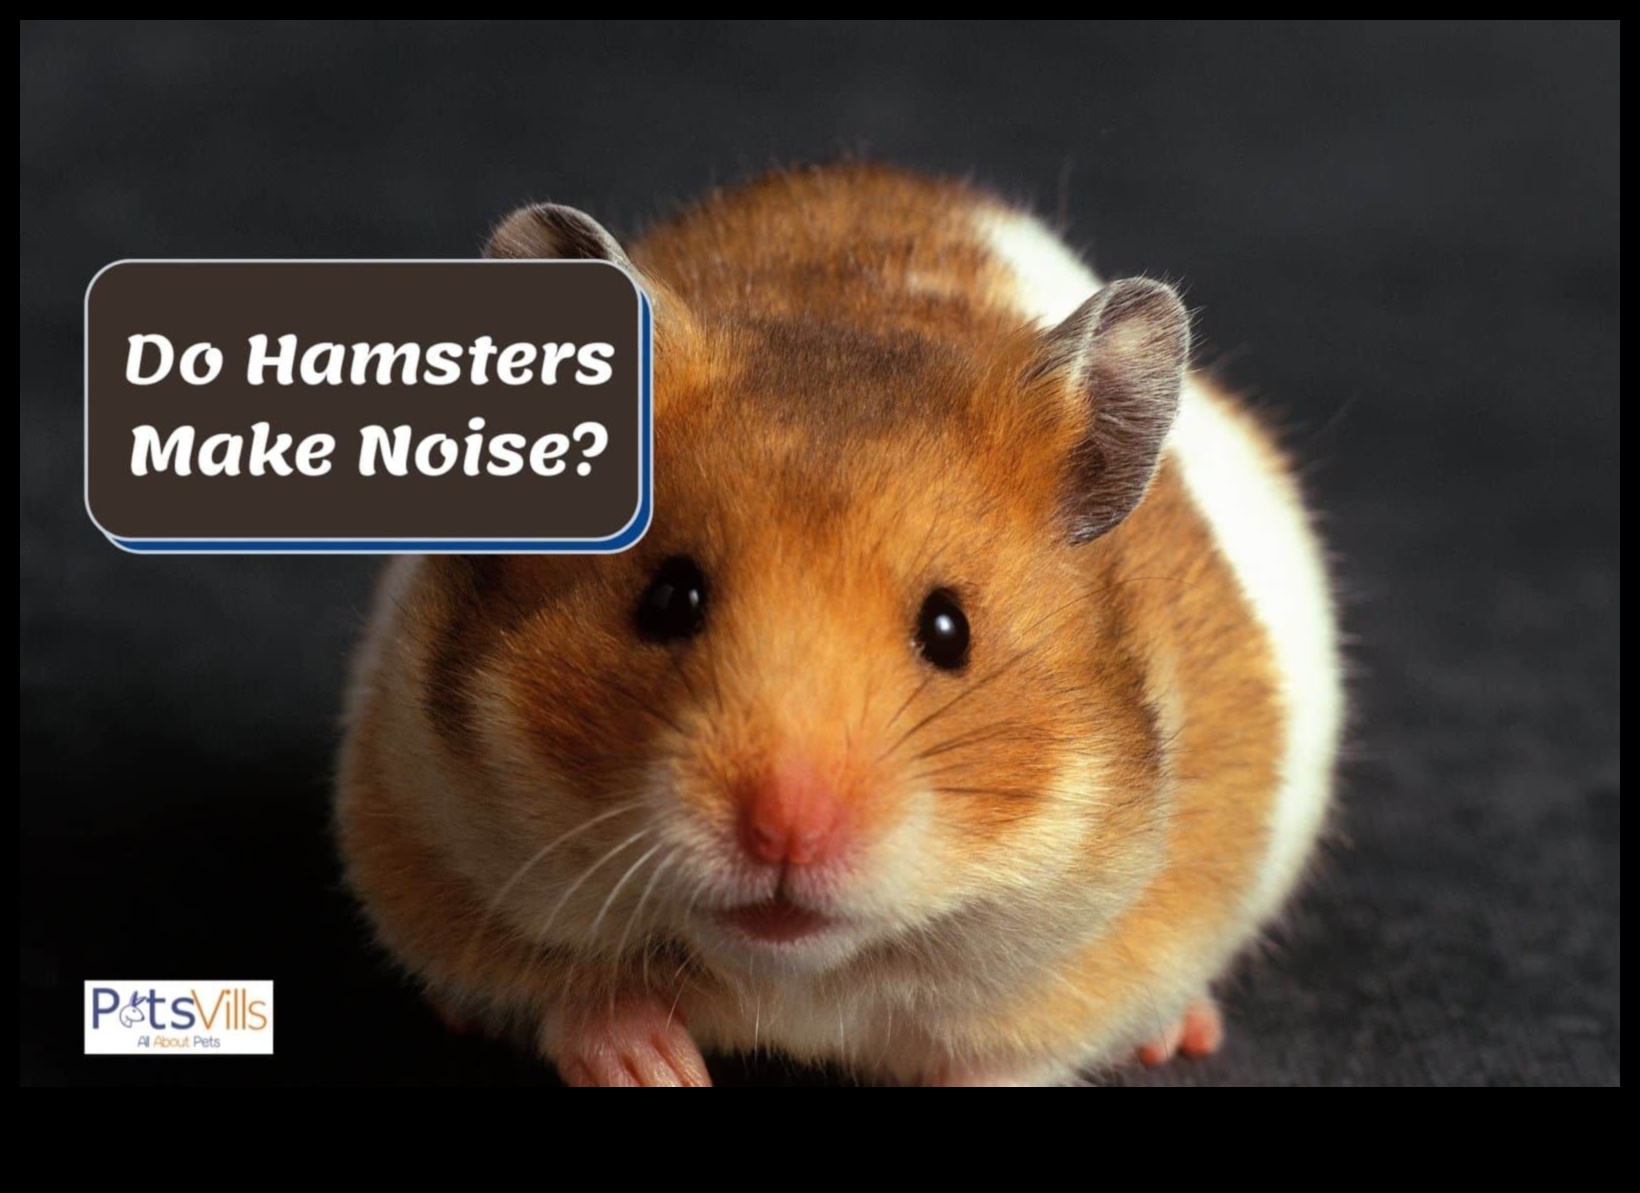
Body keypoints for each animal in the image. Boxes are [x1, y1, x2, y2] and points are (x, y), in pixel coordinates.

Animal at [335, 164, 1343, 1086]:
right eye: (669, 598)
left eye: (949, 629)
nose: (786, 833)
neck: (792, 970)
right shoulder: (417, 827)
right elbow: (572, 996)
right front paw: (659, 1067)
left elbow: (1004, 1058)